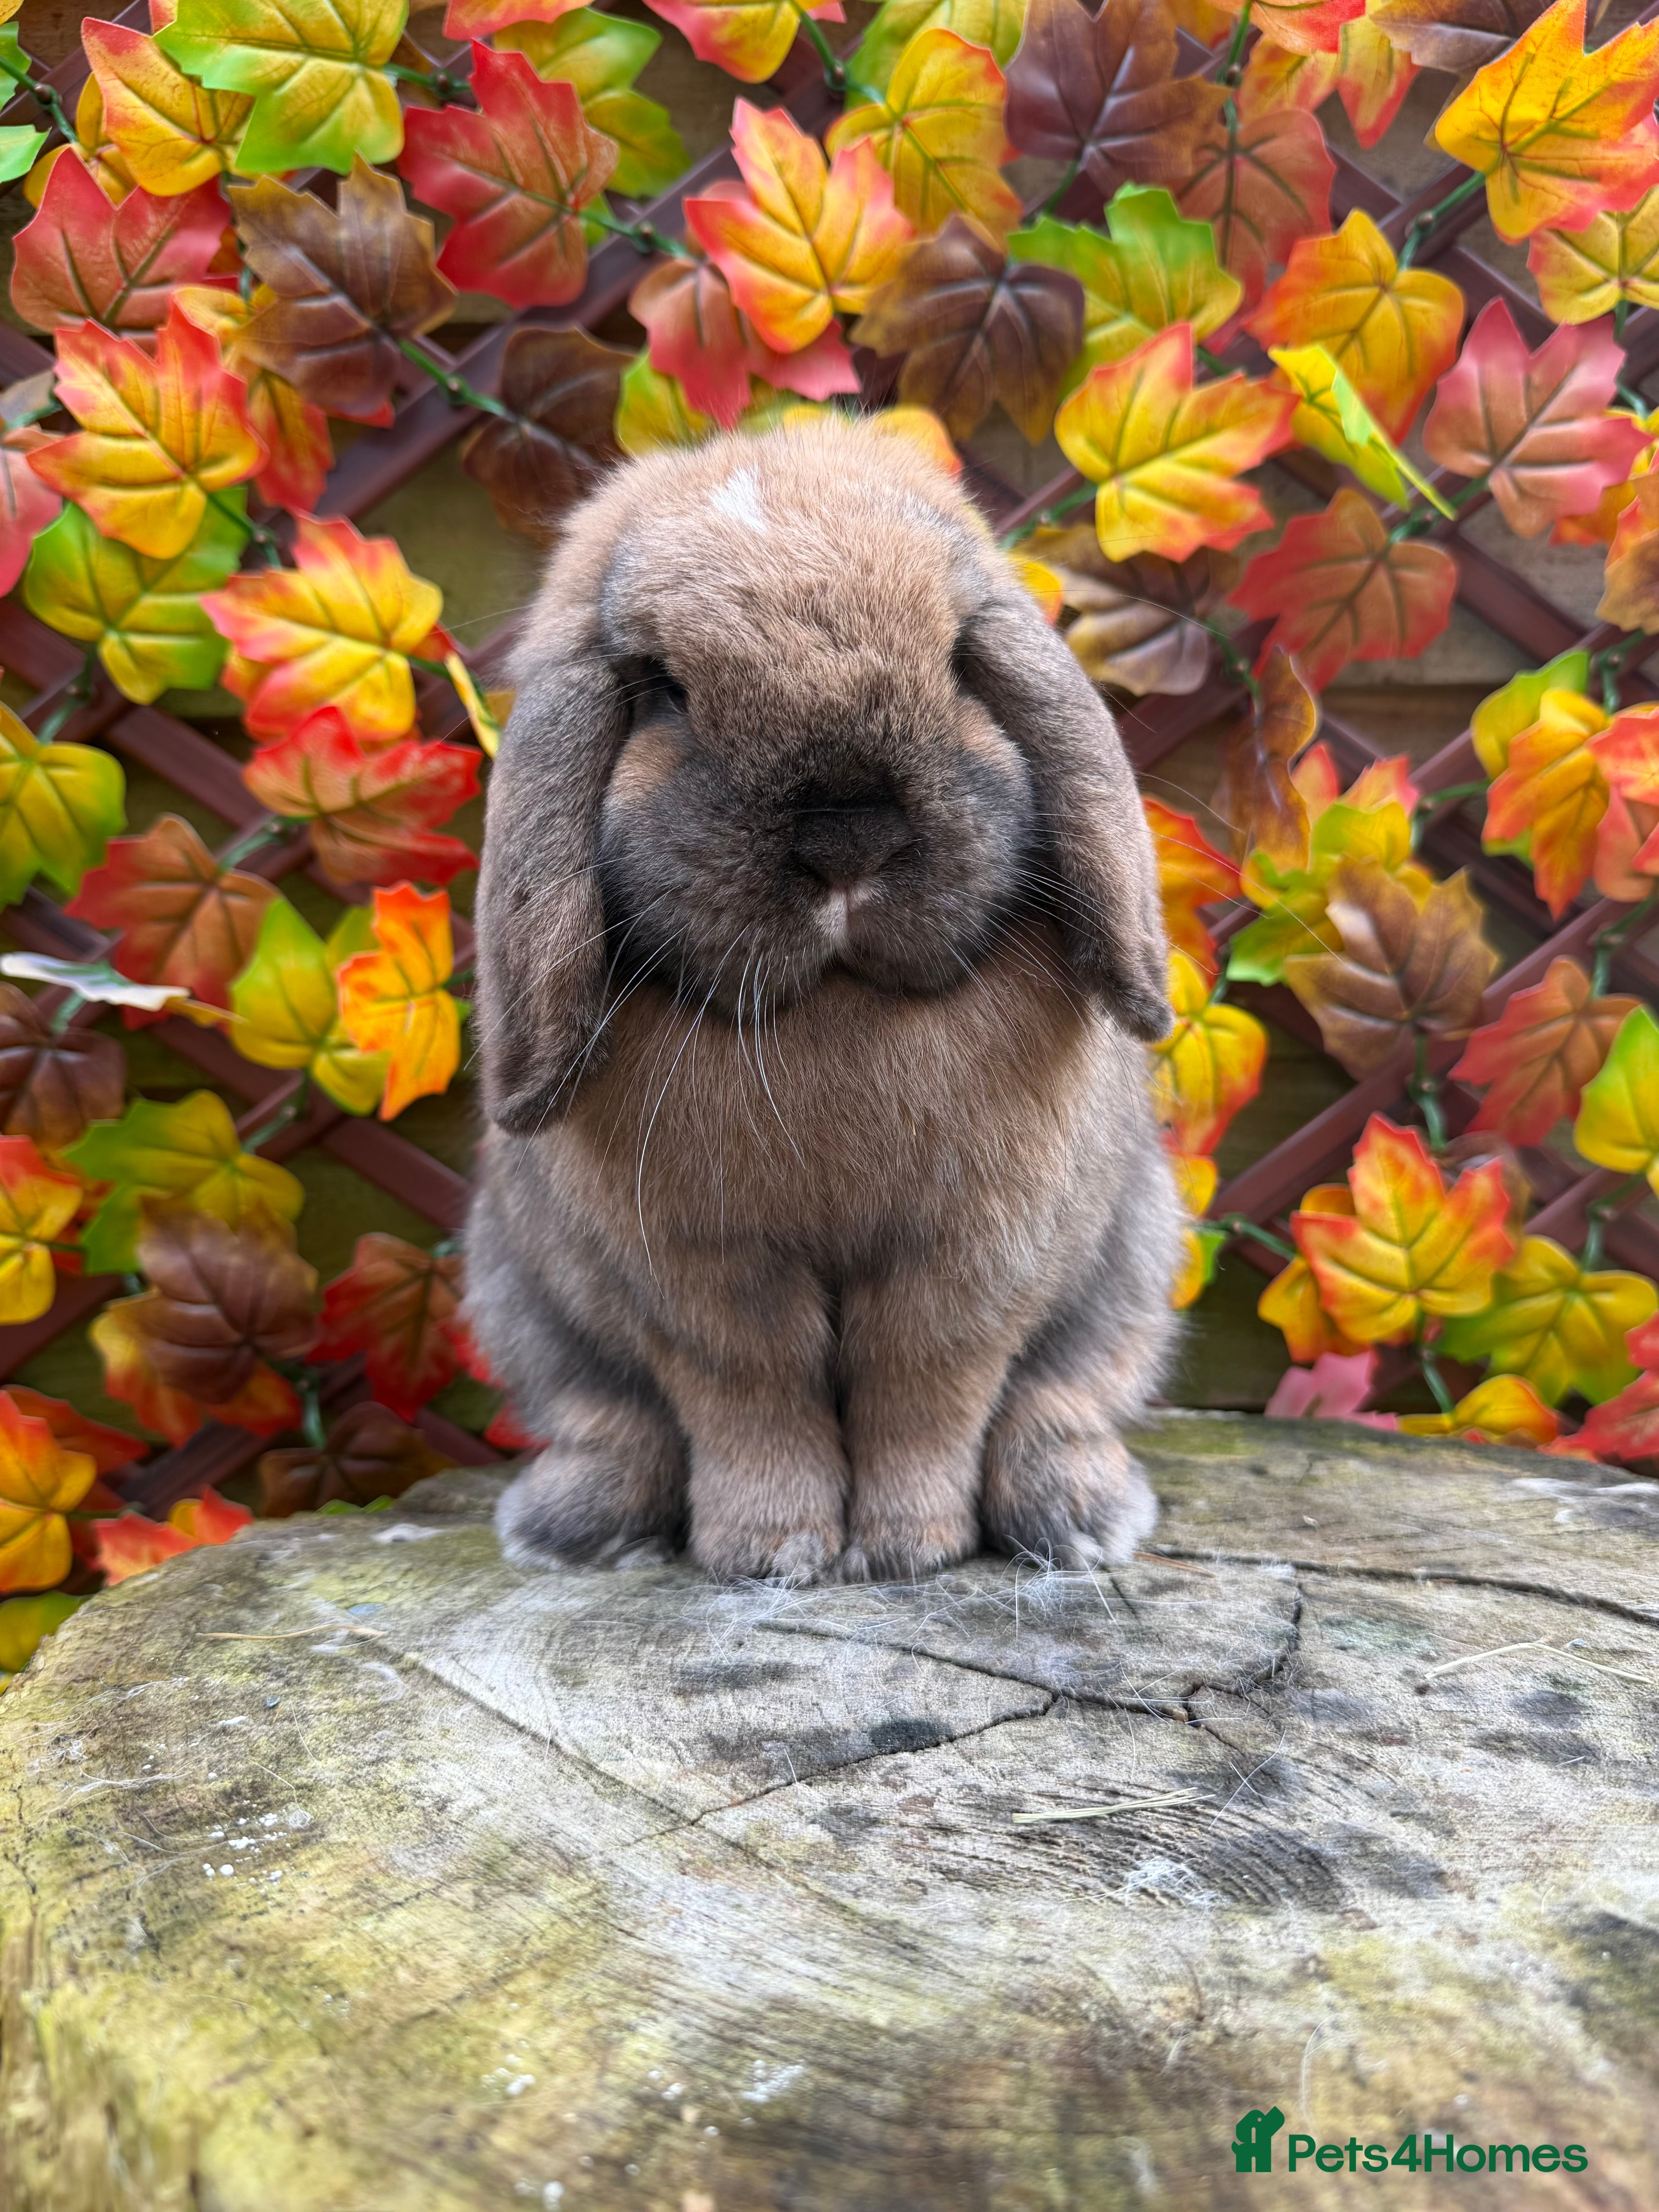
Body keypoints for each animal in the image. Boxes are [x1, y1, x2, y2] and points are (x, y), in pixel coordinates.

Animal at [464, 416, 1185, 1586]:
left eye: (957, 661)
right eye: (662, 690)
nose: (848, 836)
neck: (834, 1010)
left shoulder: (971, 1257)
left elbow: (925, 1389)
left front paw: (906, 1554)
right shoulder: (704, 1279)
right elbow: (753, 1399)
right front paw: (771, 1556)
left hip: (1132, 1267)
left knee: (1061, 1405)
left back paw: (1076, 1519)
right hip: (520, 1296)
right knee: (611, 1425)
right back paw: (570, 1525)